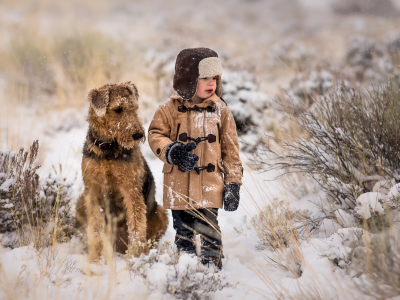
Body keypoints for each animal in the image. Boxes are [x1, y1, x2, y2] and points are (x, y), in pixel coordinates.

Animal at [76, 81, 169, 260]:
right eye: (118, 109)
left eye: (135, 108)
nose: (138, 135)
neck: (108, 149)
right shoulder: (93, 191)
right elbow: (96, 228)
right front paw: (95, 259)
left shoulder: (131, 189)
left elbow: (136, 226)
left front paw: (135, 256)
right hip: (81, 201)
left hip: (160, 212)